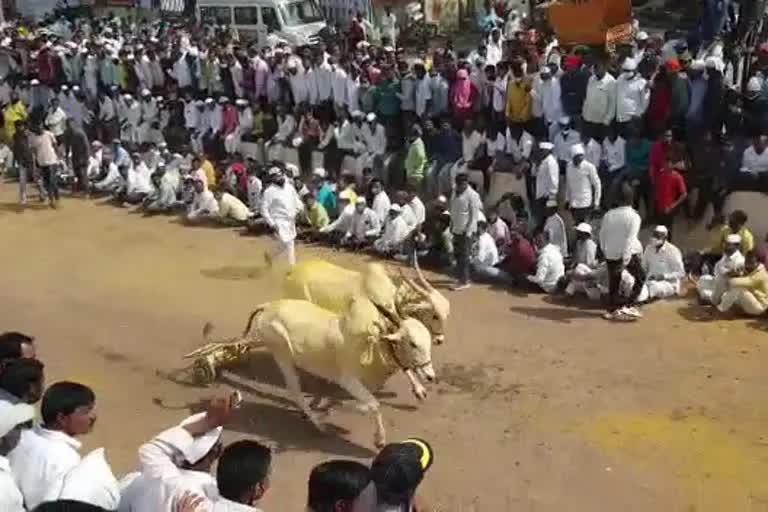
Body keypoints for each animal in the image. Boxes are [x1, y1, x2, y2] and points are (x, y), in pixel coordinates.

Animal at [189, 298, 436, 446]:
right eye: (412, 343)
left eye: (428, 340)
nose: (431, 375)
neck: (373, 344)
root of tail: (268, 306)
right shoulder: (347, 379)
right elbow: (372, 405)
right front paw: (378, 438)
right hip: (281, 352)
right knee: (294, 391)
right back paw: (318, 423)